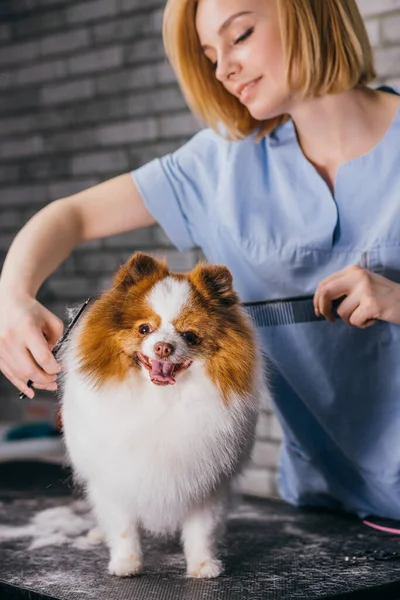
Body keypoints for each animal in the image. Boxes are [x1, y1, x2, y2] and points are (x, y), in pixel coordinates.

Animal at [59, 252, 270, 576]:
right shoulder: (117, 476)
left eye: (190, 335)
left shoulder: (206, 482)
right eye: (144, 328)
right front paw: (126, 562)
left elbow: (201, 529)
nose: (163, 347)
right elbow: (123, 525)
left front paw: (203, 565)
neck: (161, 400)